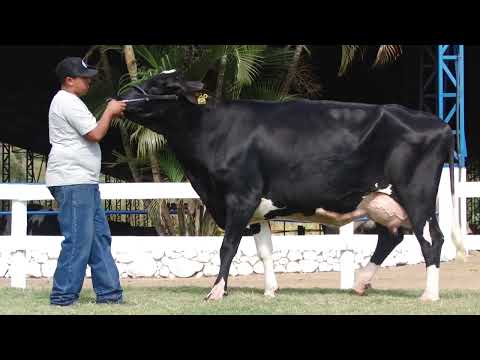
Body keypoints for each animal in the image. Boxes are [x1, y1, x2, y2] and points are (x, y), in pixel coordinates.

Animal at [118, 69, 464, 300]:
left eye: (160, 85)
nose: (119, 97)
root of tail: (438, 123)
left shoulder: (240, 197)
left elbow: (228, 246)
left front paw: (216, 291)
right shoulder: (256, 209)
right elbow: (265, 251)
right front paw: (271, 290)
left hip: (417, 197)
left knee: (432, 240)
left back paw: (429, 295)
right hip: (380, 199)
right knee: (391, 237)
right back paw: (361, 283)